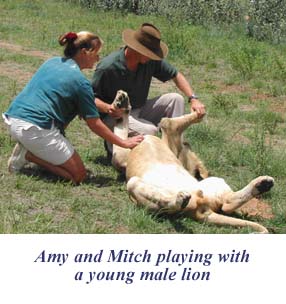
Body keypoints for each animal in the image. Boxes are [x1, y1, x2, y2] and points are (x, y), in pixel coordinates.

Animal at [110, 90, 274, 233]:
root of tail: (200, 208)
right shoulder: (123, 156)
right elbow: (164, 123)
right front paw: (121, 103)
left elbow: (165, 122)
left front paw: (122, 102)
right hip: (138, 184)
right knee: (225, 204)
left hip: (211, 185)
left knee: (225, 204)